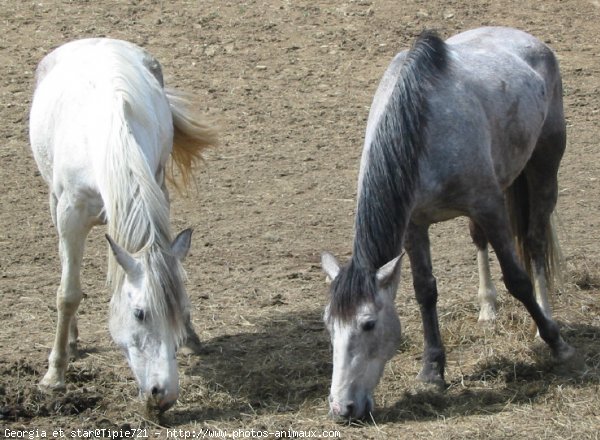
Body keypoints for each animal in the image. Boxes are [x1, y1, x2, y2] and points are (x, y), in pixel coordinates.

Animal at [29, 37, 218, 412]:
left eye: (179, 311)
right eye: (140, 314)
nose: (164, 394)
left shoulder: (158, 192)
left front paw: (191, 336)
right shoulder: (70, 214)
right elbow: (68, 294)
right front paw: (55, 374)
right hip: (54, 202)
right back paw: (71, 342)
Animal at [322, 26, 576, 420]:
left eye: (368, 324)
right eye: (328, 325)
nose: (341, 408)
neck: (418, 129)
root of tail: (528, 40)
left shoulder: (488, 206)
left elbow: (516, 279)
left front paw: (556, 343)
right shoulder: (414, 226)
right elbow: (425, 291)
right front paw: (432, 371)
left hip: (544, 165)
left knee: (534, 241)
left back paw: (544, 323)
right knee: (479, 240)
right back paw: (487, 308)